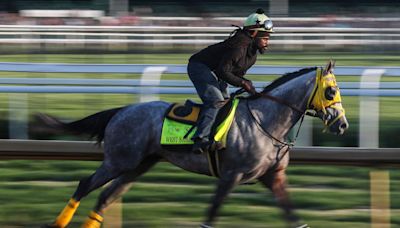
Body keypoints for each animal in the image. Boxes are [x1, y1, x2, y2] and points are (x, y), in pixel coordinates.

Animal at [39, 59, 348, 227]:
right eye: (331, 91)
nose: (342, 124)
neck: (265, 121)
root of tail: (121, 111)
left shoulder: (274, 177)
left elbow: (293, 216)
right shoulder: (231, 175)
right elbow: (211, 214)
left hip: (137, 165)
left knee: (105, 197)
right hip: (119, 161)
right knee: (85, 185)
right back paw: (58, 222)